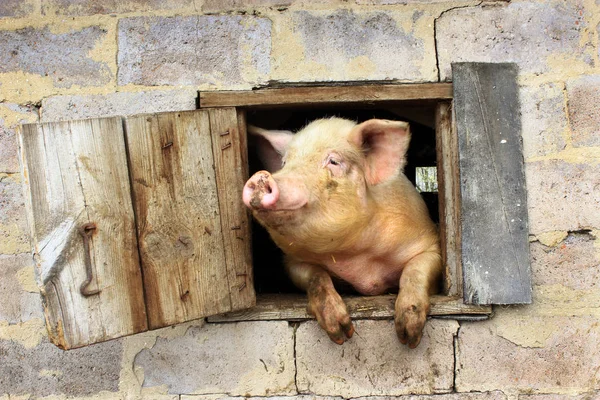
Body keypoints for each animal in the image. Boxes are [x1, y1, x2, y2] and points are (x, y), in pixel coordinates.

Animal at [241, 116, 442, 346]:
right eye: (284, 163)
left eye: (334, 162)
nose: (260, 177)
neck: (359, 263)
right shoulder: (292, 262)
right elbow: (316, 277)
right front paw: (342, 334)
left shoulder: (429, 243)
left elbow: (415, 270)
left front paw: (408, 336)